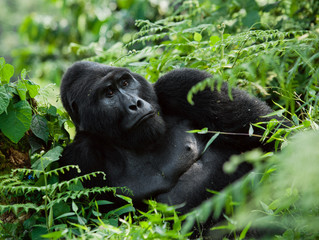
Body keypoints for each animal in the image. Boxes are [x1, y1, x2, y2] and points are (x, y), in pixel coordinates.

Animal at [59, 61, 278, 213]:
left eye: (125, 82)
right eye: (109, 93)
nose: (135, 104)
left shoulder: (183, 83)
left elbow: (271, 134)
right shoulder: (78, 158)